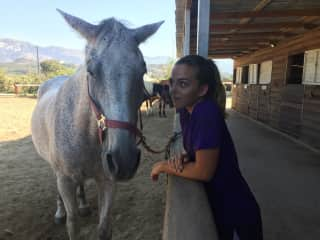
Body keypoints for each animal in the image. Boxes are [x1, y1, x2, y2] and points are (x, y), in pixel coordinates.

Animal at [31, 8, 162, 239]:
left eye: (143, 70)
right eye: (91, 71)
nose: (124, 160)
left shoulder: (108, 180)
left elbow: (104, 227)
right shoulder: (65, 180)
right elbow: (72, 223)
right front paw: (66, 214)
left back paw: (83, 205)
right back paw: (59, 212)